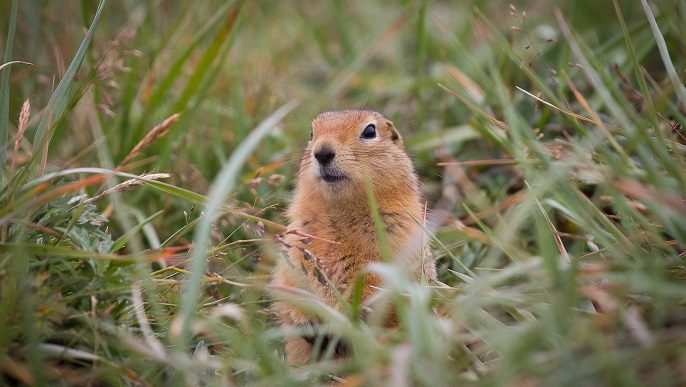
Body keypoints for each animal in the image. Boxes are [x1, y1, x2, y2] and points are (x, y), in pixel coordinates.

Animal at [270, 110, 436, 366]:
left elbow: (381, 281)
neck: (342, 211)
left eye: (370, 131)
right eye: (311, 133)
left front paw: (353, 312)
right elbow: (288, 278)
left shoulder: (400, 237)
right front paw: (305, 318)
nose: (322, 152)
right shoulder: (295, 241)